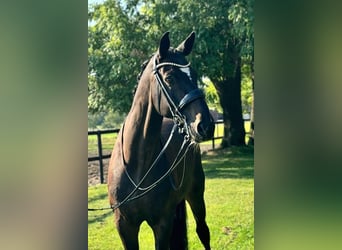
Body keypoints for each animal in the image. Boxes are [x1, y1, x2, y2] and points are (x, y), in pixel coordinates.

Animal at [107, 32, 214, 249]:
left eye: (195, 75)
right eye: (169, 77)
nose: (205, 125)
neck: (137, 166)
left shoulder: (162, 223)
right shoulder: (125, 226)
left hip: (196, 194)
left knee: (203, 231)